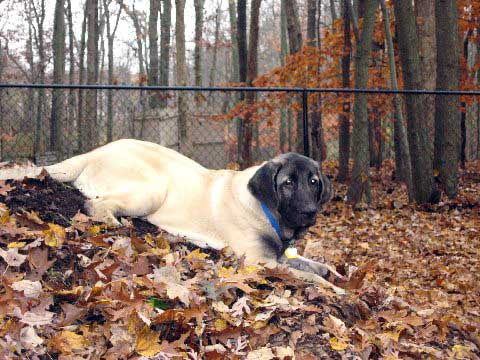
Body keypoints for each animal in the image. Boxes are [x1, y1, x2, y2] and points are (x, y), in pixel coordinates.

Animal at [0, 139, 344, 294]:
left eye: (314, 182)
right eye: (288, 183)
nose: (310, 212)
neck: (266, 211)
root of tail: (95, 151)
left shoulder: (281, 255)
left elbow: (317, 266)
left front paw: (336, 274)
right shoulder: (261, 262)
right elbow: (310, 276)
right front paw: (339, 291)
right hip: (151, 189)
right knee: (93, 207)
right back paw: (118, 225)